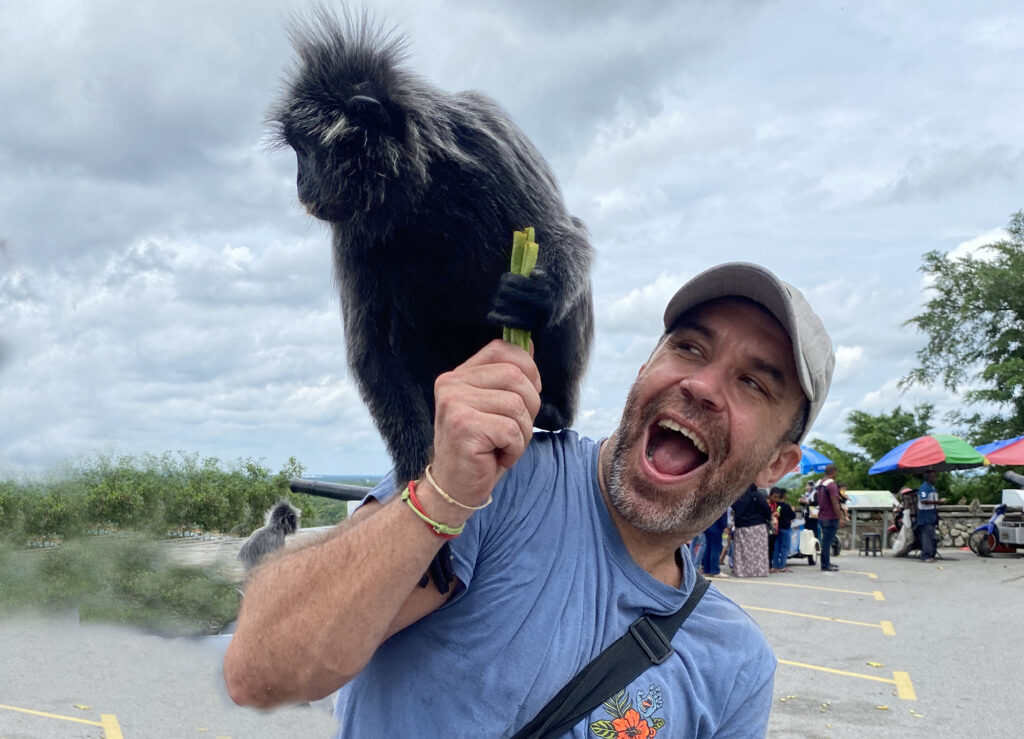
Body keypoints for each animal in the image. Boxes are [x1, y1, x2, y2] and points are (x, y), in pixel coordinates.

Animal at [268, 11, 598, 487]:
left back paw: (554, 409)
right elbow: (373, 349)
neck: (419, 189)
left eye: (306, 150)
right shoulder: (353, 228)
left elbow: (565, 233)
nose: (300, 184)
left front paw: (541, 293)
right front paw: (418, 471)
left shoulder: (488, 137)